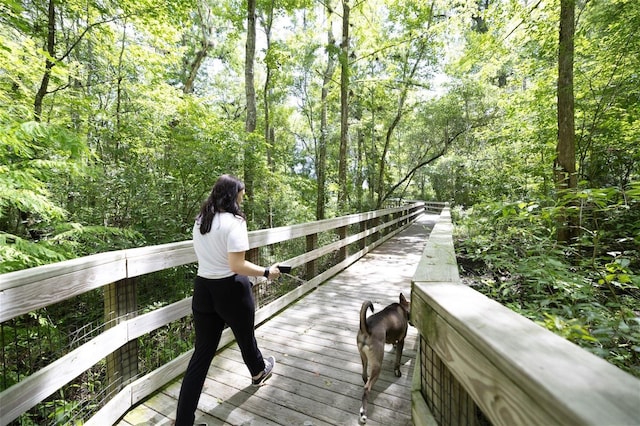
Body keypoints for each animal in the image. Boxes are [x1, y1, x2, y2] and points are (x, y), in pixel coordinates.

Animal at [356, 292, 410, 422]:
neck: (402, 307)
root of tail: (366, 328)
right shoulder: (402, 341)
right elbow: (398, 359)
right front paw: (397, 371)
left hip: (364, 358)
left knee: (365, 377)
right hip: (377, 365)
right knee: (367, 388)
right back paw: (363, 412)